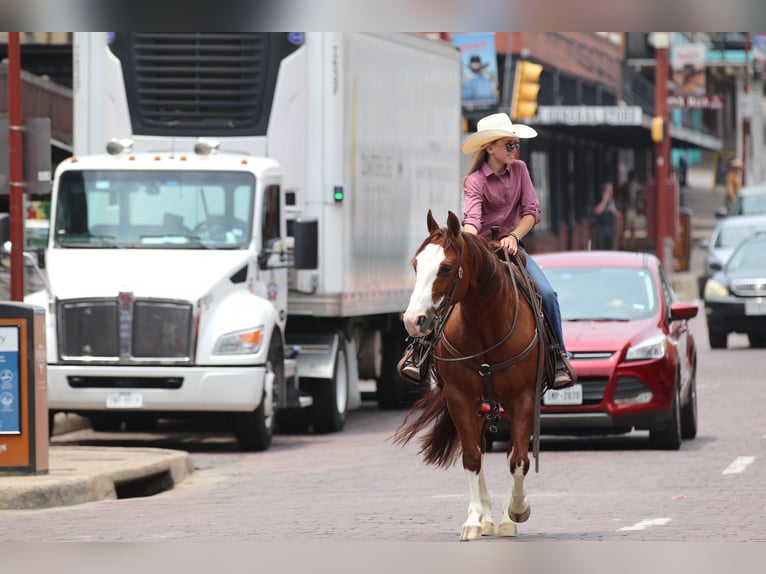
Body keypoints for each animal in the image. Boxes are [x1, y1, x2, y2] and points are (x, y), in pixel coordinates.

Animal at [392, 210, 548, 540]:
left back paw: (505, 517)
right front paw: (475, 520)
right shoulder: (459, 398)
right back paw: (486, 517)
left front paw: (516, 511)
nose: (412, 321)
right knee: (480, 448)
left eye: (446, 268)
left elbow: (519, 458)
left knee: (510, 453)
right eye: (416, 264)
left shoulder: (524, 398)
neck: (485, 325)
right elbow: (471, 457)